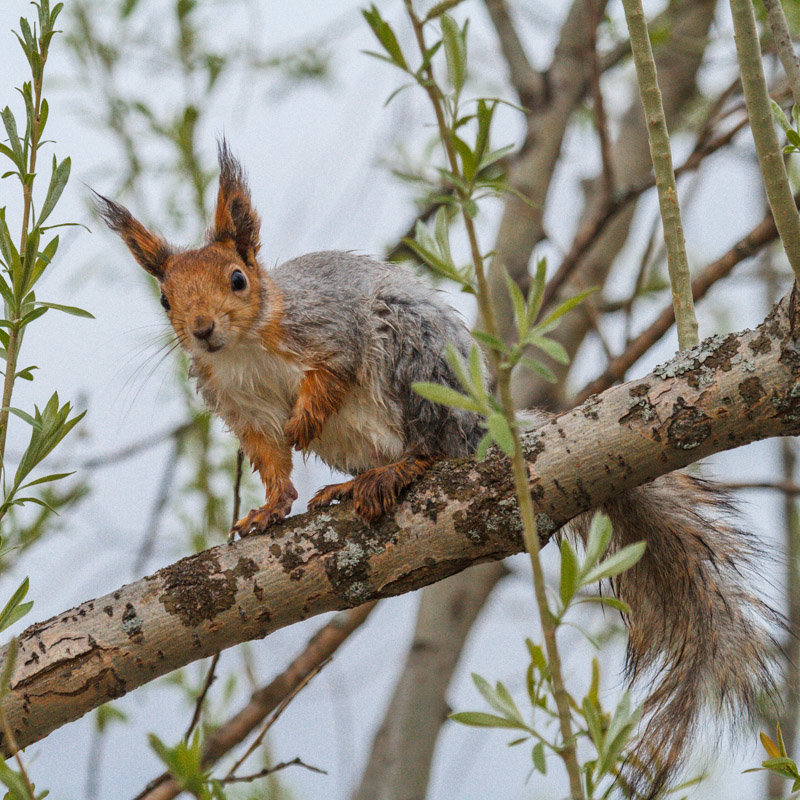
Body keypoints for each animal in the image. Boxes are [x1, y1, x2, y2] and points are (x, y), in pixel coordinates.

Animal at [98, 141, 780, 796]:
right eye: (165, 298)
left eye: (238, 279)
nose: (202, 330)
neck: (245, 347)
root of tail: (482, 428)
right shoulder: (239, 409)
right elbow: (271, 460)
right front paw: (268, 509)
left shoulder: (332, 329)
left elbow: (329, 377)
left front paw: (306, 418)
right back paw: (346, 485)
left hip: (413, 361)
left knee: (430, 449)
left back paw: (389, 476)